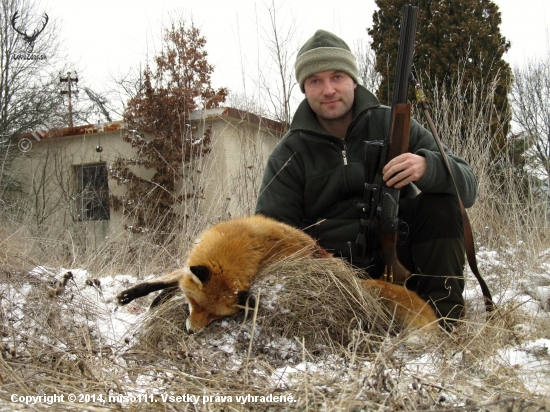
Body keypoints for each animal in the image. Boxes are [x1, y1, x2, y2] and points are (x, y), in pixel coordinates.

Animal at [118, 214, 438, 334]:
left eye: (215, 318)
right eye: (195, 305)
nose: (190, 331)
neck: (246, 241)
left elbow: (172, 284)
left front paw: (156, 298)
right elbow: (167, 279)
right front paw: (134, 293)